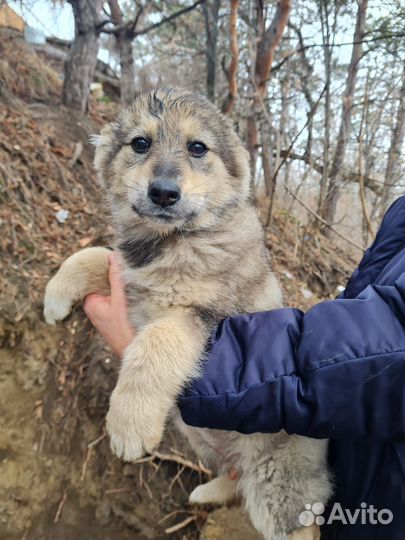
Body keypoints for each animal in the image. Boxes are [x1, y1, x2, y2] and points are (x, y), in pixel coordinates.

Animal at [44, 86, 330, 536]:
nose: (163, 192)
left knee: (297, 521)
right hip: (199, 435)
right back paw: (207, 491)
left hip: (276, 483)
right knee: (233, 477)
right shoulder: (130, 273)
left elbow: (156, 343)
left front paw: (128, 423)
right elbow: (95, 256)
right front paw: (56, 294)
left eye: (198, 148)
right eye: (140, 143)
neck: (176, 240)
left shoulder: (206, 316)